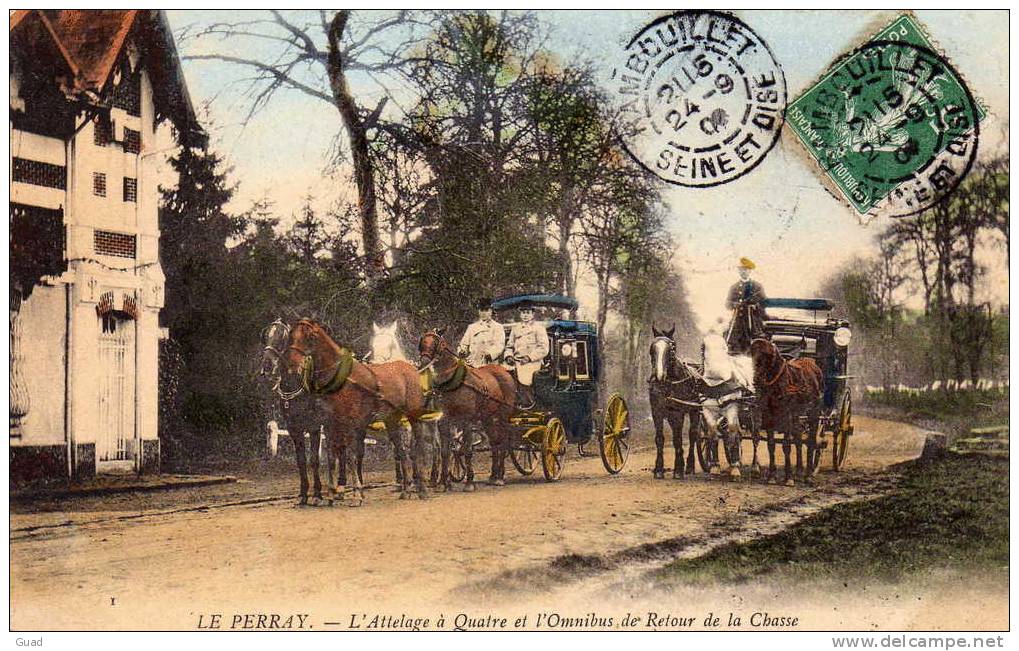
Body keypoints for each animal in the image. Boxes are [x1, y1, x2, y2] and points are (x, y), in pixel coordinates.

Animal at [285, 317, 432, 501]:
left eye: (310, 336)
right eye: (291, 335)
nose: (292, 363)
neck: (341, 377)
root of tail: (411, 368)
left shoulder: (350, 422)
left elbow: (351, 456)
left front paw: (356, 493)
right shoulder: (331, 423)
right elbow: (333, 456)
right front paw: (334, 492)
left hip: (413, 417)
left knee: (418, 448)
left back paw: (423, 488)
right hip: (392, 420)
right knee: (401, 451)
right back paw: (406, 490)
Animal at [417, 328, 517, 491]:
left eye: (436, 341)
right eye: (423, 340)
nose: (424, 362)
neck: (452, 381)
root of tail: (504, 372)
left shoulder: (466, 420)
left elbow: (468, 450)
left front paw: (469, 482)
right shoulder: (443, 421)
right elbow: (445, 451)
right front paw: (444, 483)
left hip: (503, 416)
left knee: (503, 442)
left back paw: (500, 477)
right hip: (487, 418)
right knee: (494, 443)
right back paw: (493, 476)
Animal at [754, 338, 823, 486]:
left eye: (765, 356)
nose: (755, 378)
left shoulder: (786, 415)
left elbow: (786, 445)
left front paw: (788, 477)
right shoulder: (768, 416)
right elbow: (771, 445)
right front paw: (772, 476)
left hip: (813, 412)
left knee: (811, 440)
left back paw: (808, 475)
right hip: (796, 415)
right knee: (798, 438)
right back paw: (799, 472)